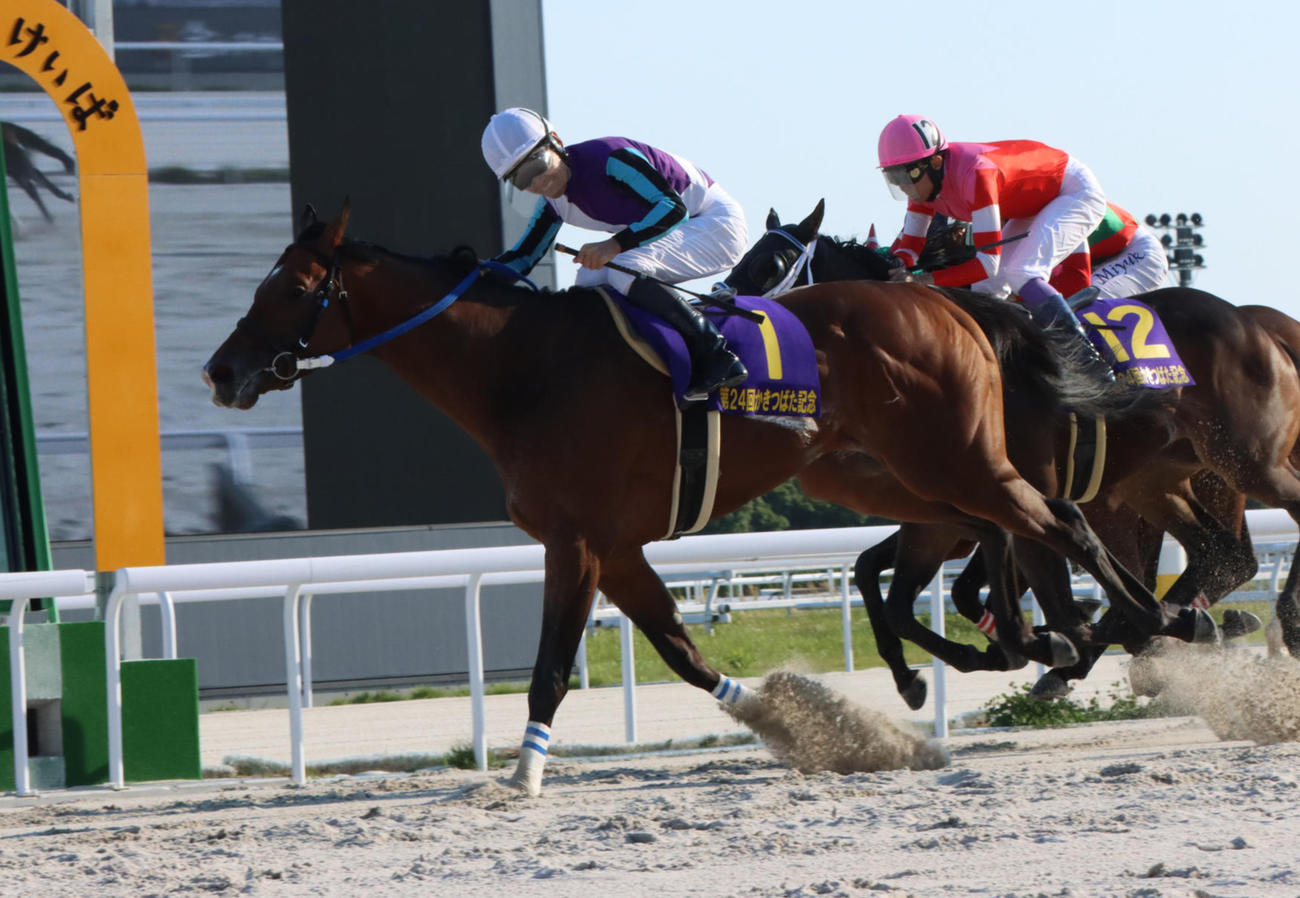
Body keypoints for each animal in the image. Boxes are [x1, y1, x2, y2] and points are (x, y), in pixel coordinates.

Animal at [204, 202, 1188, 794]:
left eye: (293, 286)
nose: (221, 371)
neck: (522, 368)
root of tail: (953, 306)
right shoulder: (614, 545)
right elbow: (680, 649)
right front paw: (799, 724)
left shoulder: (573, 539)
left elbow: (553, 664)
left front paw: (523, 775)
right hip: (910, 476)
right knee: (1012, 535)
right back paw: (1070, 635)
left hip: (955, 460)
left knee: (1056, 521)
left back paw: (1158, 621)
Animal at [725, 202, 1300, 708]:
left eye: (770, 264)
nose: (728, 330)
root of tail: (1257, 323)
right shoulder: (944, 511)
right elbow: (884, 583)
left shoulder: (1005, 493)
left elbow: (980, 588)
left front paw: (1044, 640)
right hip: (1157, 481)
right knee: (1221, 555)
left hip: (1246, 459)